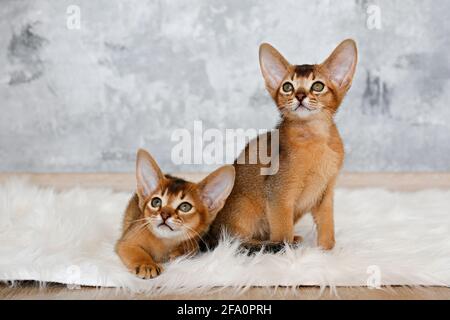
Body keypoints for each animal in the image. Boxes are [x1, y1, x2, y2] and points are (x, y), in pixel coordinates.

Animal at [115, 149, 236, 278]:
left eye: (185, 207)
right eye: (156, 202)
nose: (164, 215)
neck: (164, 242)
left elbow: (191, 248)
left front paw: (180, 252)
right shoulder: (127, 242)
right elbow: (135, 251)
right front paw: (146, 264)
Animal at [208, 39, 358, 250]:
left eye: (318, 86)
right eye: (287, 87)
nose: (300, 96)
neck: (315, 139)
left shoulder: (325, 192)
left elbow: (327, 224)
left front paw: (327, 250)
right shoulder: (279, 194)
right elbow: (283, 231)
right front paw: (285, 251)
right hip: (242, 208)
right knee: (235, 240)